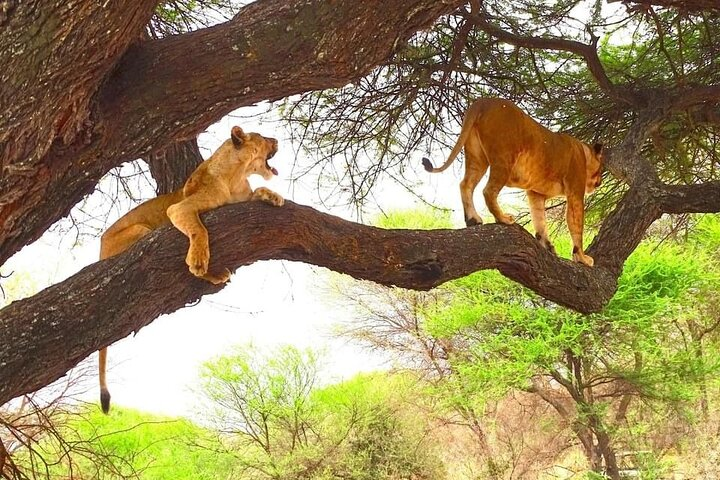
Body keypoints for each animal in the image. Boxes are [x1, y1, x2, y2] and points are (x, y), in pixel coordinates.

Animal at [97, 124, 282, 412]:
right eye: (262, 137)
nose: (276, 139)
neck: (237, 175)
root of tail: (99, 250)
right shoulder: (180, 208)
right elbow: (199, 229)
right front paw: (198, 258)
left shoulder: (241, 198)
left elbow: (258, 191)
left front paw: (273, 197)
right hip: (142, 232)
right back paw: (211, 271)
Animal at [422, 98, 600, 266]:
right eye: (600, 169)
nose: (599, 183)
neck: (583, 151)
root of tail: (484, 101)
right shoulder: (575, 192)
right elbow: (576, 226)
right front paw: (582, 258)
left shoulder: (535, 193)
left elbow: (539, 219)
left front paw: (546, 245)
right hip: (504, 158)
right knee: (488, 191)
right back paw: (503, 218)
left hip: (477, 157)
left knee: (466, 184)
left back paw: (473, 219)